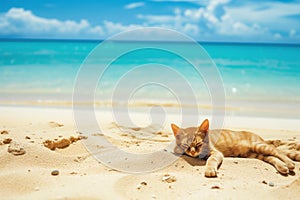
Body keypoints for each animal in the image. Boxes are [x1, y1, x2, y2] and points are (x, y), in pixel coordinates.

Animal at [171, 119, 300, 177]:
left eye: (198, 144)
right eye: (186, 146)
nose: (193, 152)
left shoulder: (216, 153)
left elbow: (211, 160)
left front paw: (210, 169)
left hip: (259, 146)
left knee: (278, 151)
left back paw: (289, 163)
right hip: (254, 154)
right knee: (272, 157)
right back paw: (282, 167)